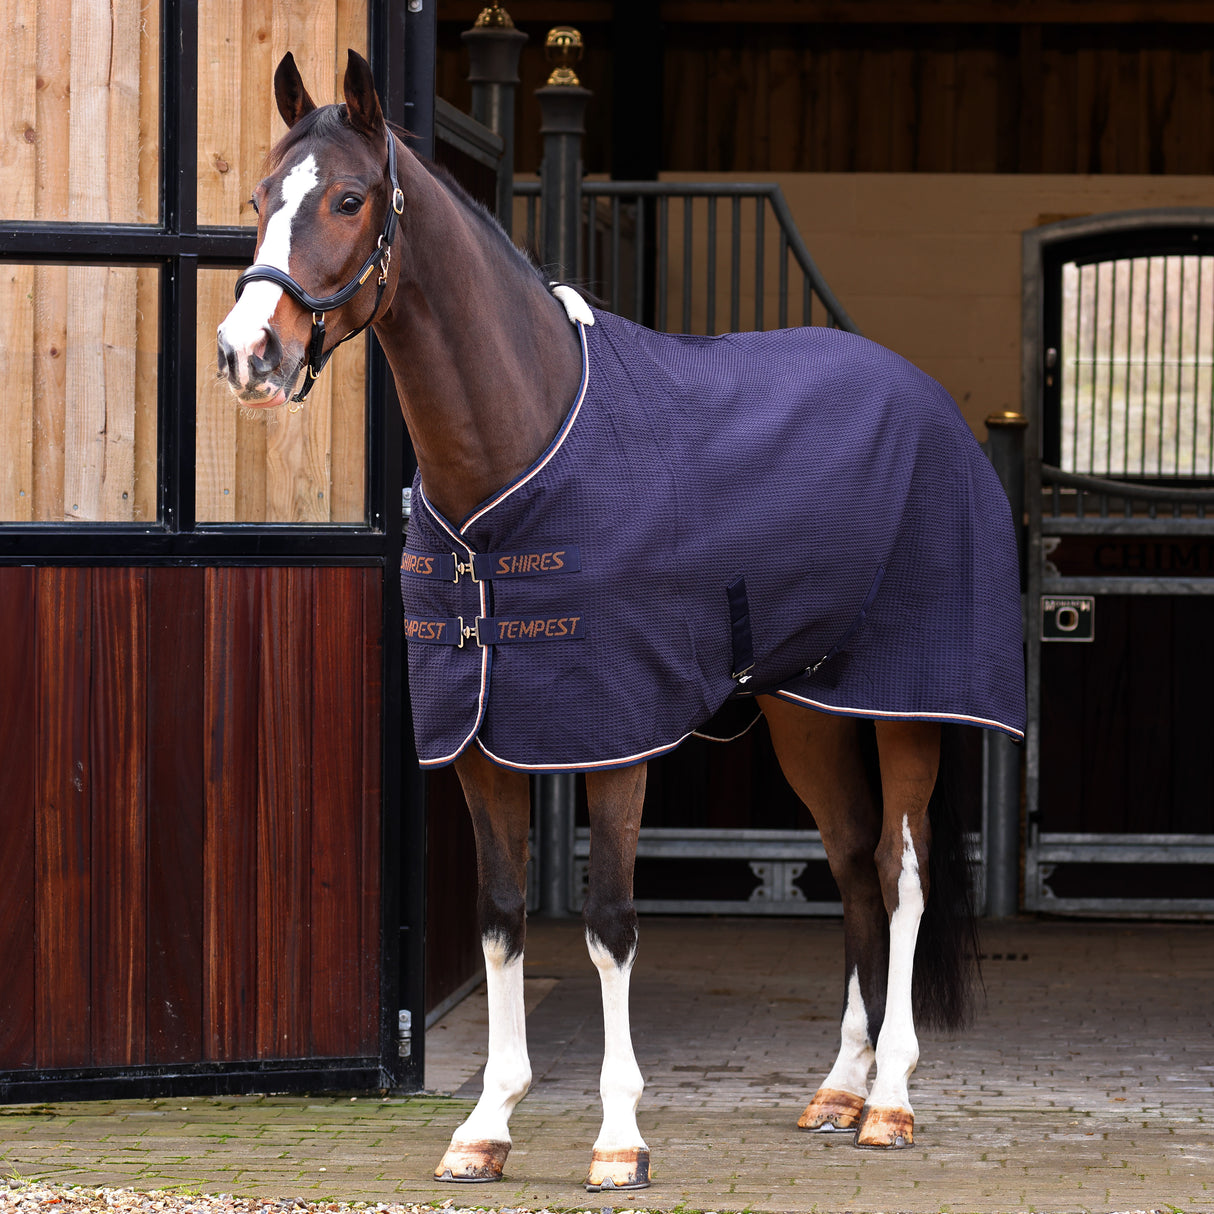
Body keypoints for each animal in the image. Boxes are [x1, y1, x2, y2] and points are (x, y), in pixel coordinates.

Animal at [216, 49, 1024, 1194]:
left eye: (347, 198)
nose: (249, 355)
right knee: (853, 869)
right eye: (256, 199)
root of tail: (924, 396)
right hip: (807, 715)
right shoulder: (480, 734)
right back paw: (837, 1089)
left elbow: (608, 926)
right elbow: (501, 919)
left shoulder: (615, 734)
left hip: (907, 706)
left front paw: (618, 1137)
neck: (517, 451)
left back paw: (892, 1103)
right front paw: (485, 1126)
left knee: (900, 877)